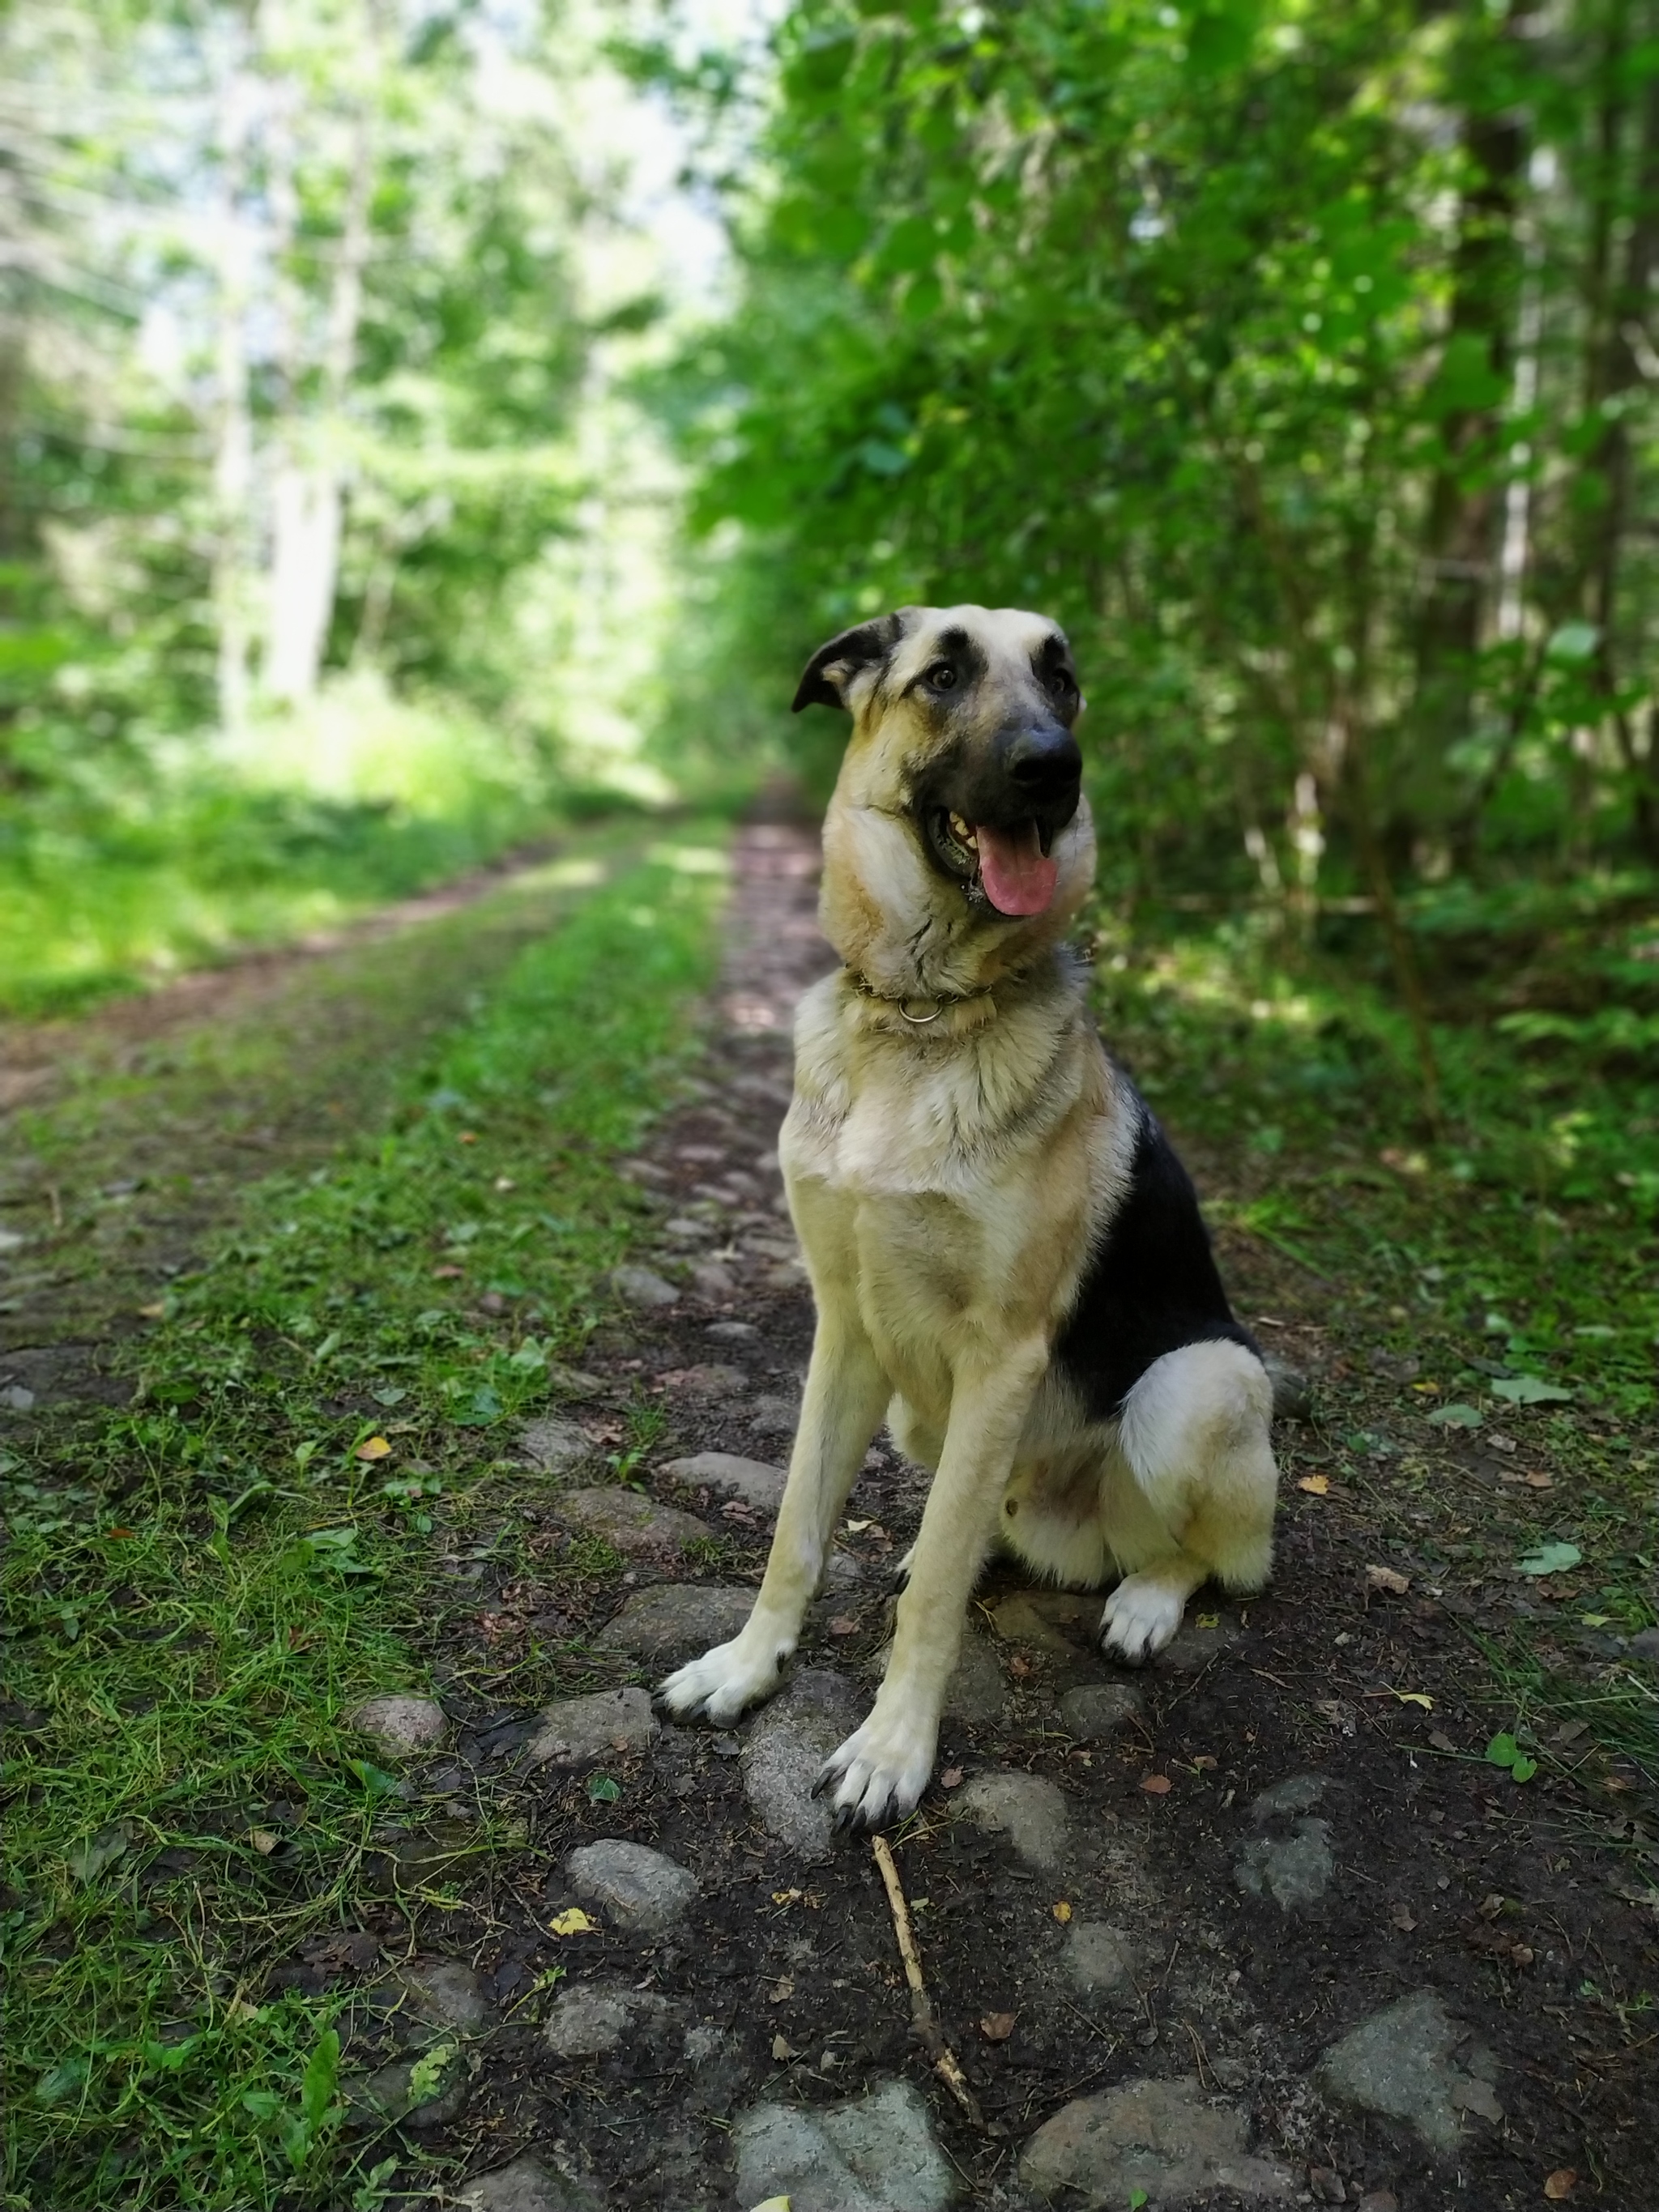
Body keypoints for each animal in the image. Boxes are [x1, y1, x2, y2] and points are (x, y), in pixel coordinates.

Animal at [655, 606, 1282, 1831]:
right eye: (940, 675)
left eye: (1061, 677)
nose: (1055, 768)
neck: (919, 1013)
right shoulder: (844, 1328)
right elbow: (795, 1530)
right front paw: (748, 1666)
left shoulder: (1004, 1353)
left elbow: (936, 1597)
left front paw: (892, 1747)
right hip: (918, 1409)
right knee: (975, 1512)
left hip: (1197, 1385)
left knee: (1204, 1554)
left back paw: (1143, 1599)